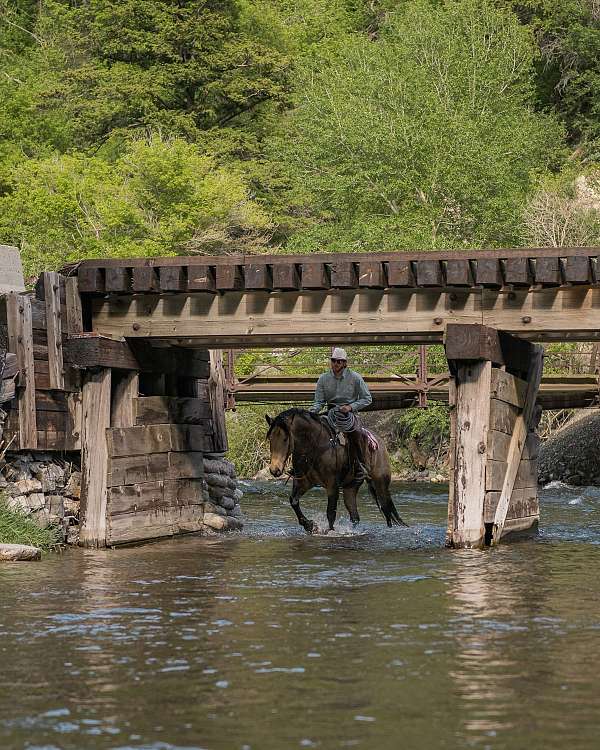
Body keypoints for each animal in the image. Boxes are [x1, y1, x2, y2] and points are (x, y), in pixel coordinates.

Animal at [265, 408, 407, 534]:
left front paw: (329, 531)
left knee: (386, 510)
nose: (274, 469)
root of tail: (380, 442)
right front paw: (310, 526)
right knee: (355, 516)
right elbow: (293, 501)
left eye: (285, 439)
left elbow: (330, 512)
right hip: (350, 487)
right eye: (270, 438)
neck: (315, 446)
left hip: (380, 484)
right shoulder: (303, 483)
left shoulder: (332, 485)